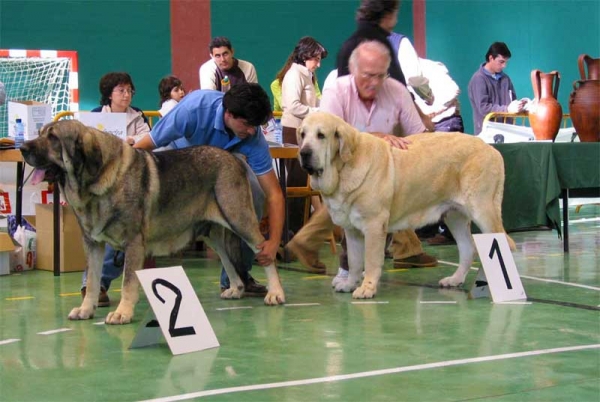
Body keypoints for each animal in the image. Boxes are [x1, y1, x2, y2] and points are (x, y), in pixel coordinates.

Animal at [22, 119, 284, 324]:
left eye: (53, 137)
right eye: (41, 132)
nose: (23, 148)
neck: (95, 181)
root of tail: (234, 157)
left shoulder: (133, 243)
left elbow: (128, 281)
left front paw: (123, 313)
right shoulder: (93, 244)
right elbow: (94, 280)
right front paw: (87, 309)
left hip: (239, 219)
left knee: (264, 252)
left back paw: (275, 293)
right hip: (212, 234)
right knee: (228, 260)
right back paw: (236, 289)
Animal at [298, 111, 512, 296]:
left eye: (321, 135)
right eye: (302, 134)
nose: (304, 152)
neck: (343, 167)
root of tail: (492, 149)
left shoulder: (373, 226)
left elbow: (371, 260)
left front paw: (367, 288)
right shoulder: (352, 230)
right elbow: (355, 261)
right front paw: (350, 283)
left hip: (483, 211)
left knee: (501, 243)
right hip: (455, 216)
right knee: (469, 249)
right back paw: (455, 279)